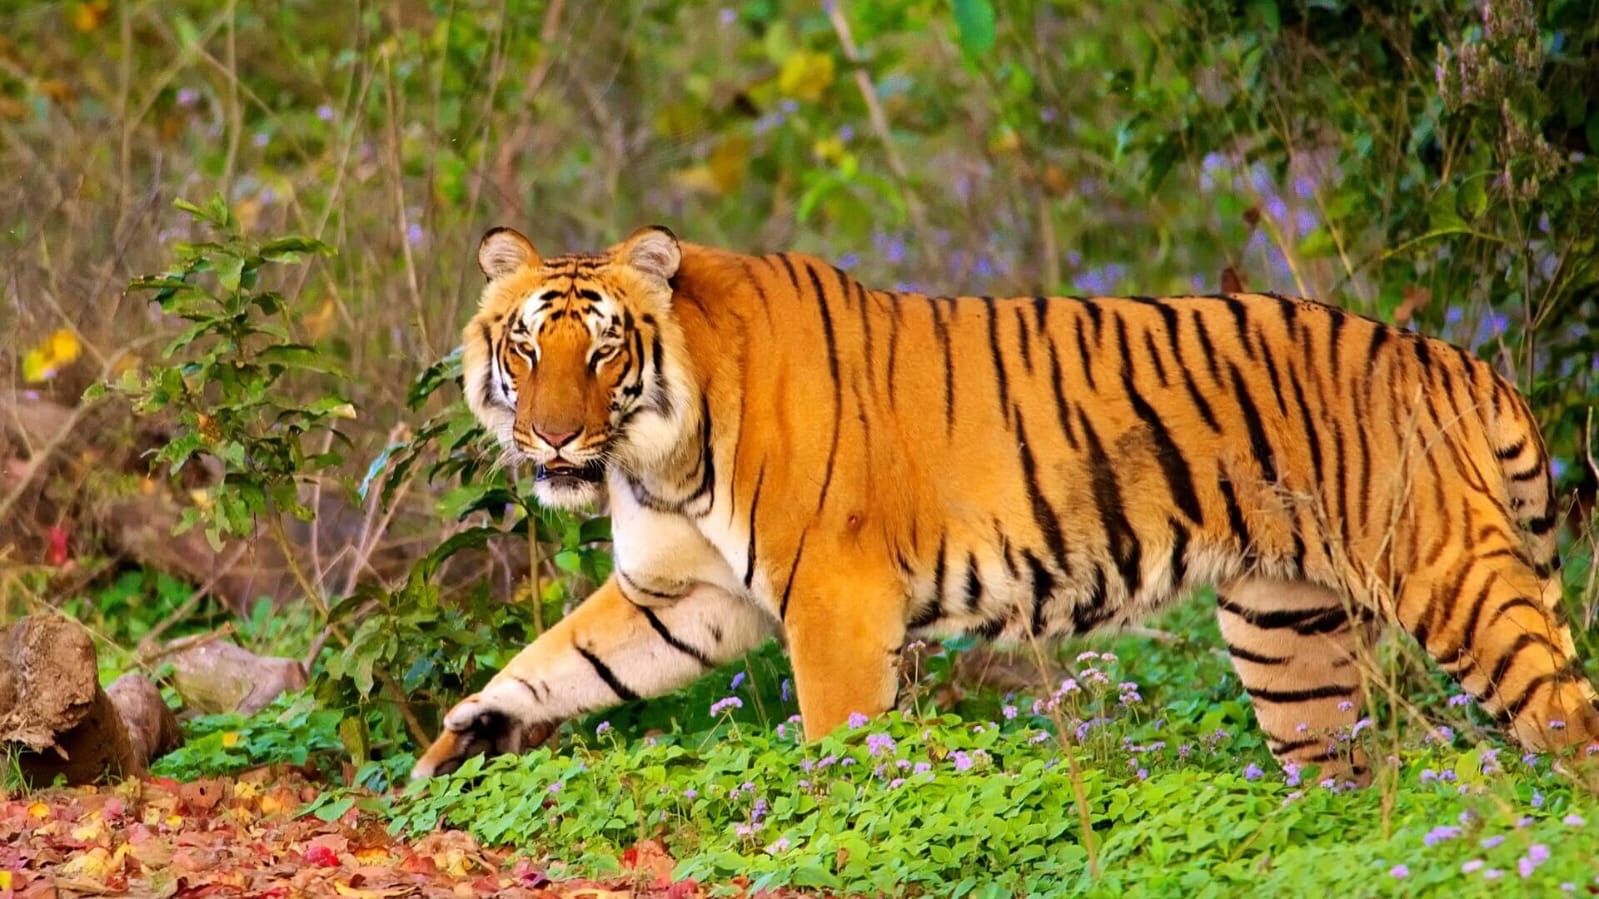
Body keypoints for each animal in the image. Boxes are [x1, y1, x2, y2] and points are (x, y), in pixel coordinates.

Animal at [409, 224, 1599, 787]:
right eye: (527, 345)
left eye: (603, 348)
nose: (552, 437)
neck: (663, 452)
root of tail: (1459, 360)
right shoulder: (683, 594)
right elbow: (561, 660)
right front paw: (461, 740)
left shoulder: (833, 601)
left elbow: (839, 742)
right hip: (1288, 636)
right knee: (1339, 765)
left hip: (1450, 576)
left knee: (1565, 714)